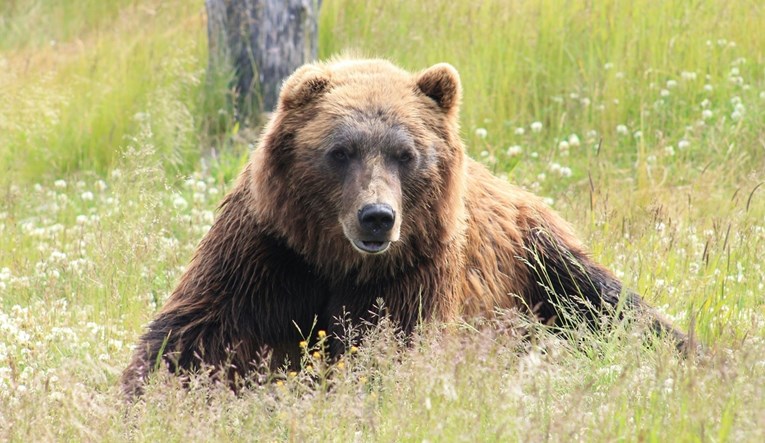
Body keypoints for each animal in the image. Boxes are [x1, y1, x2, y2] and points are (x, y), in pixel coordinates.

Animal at [121, 59, 688, 398]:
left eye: (405, 153)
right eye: (340, 150)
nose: (377, 216)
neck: (337, 261)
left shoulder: (413, 271)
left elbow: (390, 349)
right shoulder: (269, 253)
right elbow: (195, 335)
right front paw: (146, 396)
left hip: (539, 259)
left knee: (611, 306)